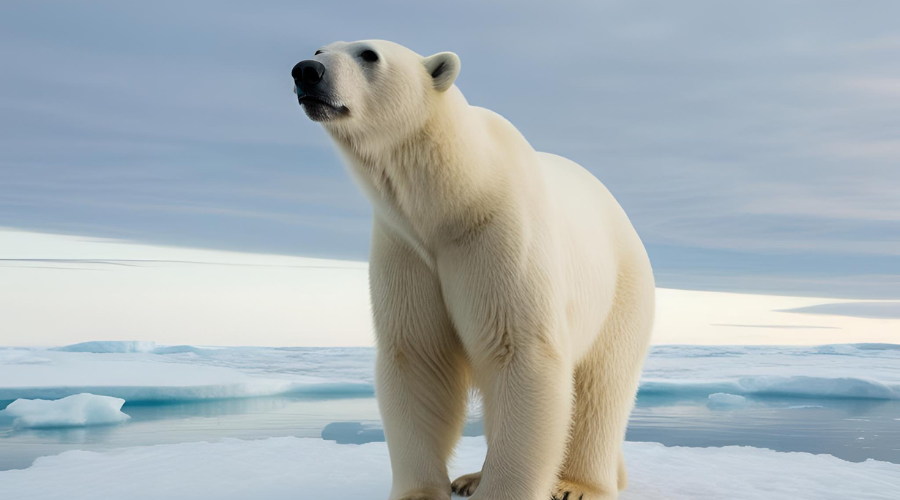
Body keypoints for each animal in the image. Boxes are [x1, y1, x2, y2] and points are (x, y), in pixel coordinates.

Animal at [291, 40, 655, 500]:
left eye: (369, 54)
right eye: (319, 48)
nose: (307, 71)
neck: (455, 195)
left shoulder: (497, 234)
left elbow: (518, 350)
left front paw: (500, 491)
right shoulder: (406, 248)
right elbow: (418, 355)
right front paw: (422, 491)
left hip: (621, 291)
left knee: (601, 386)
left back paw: (578, 484)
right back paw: (471, 477)